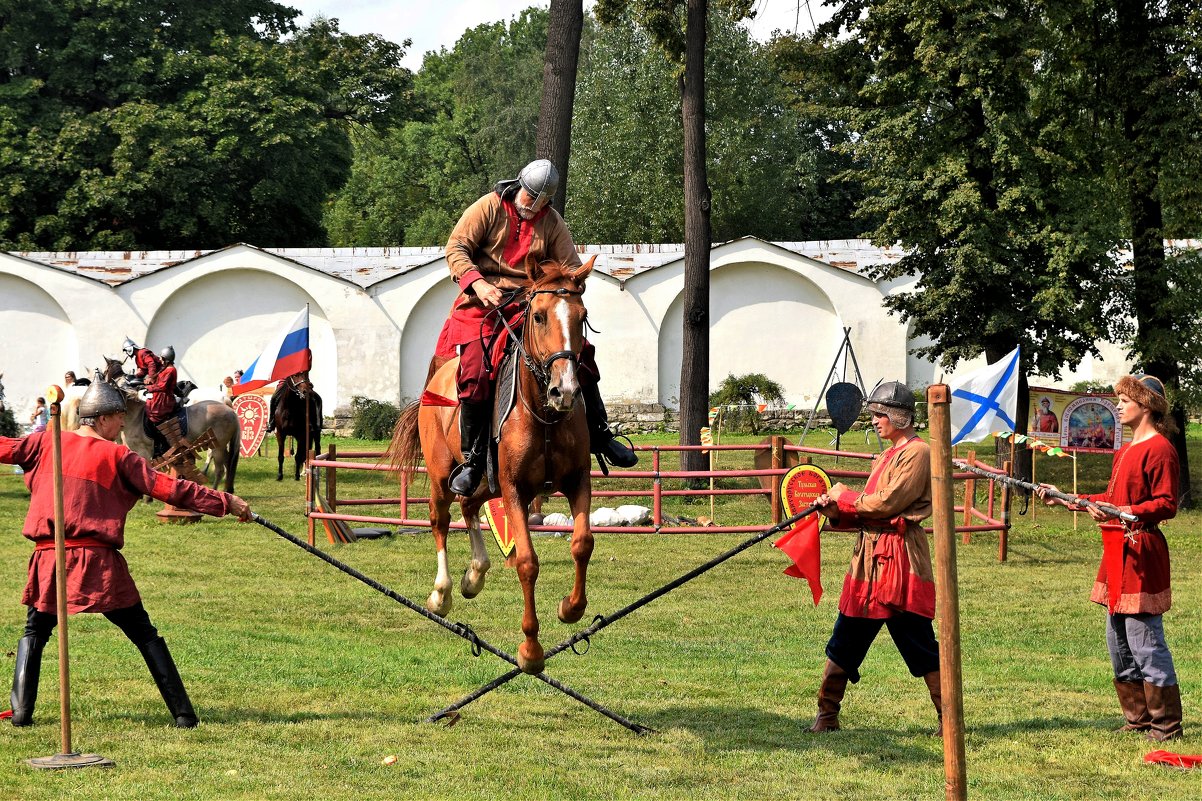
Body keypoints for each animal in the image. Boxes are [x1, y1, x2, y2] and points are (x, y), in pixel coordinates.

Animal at [387, 252, 598, 668]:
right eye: (539, 316)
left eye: (581, 317)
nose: (565, 390)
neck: (542, 413)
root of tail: (437, 378)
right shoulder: (515, 490)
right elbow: (527, 561)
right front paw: (531, 649)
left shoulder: (577, 480)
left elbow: (582, 543)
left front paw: (571, 608)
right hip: (442, 477)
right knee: (440, 520)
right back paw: (442, 592)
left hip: (485, 480)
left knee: (470, 505)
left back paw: (475, 575)